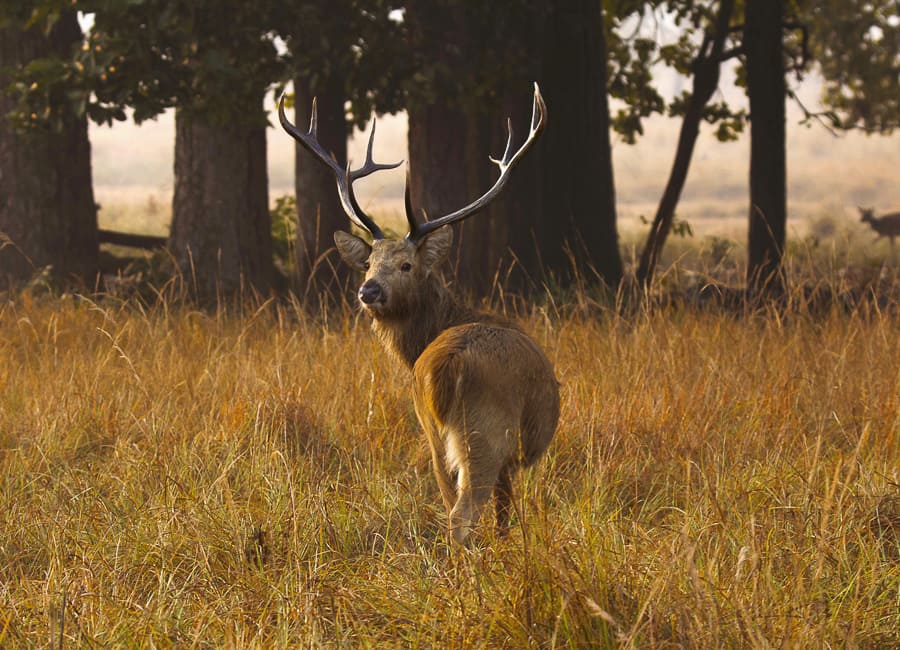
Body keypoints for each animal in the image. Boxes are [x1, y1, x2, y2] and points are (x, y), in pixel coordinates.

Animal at [279, 84, 559, 545]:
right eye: (369, 263)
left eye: (405, 265)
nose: (368, 290)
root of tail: (448, 366)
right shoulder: (511, 457)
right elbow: (504, 513)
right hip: (487, 432)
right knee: (463, 513)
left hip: (432, 431)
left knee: (448, 503)